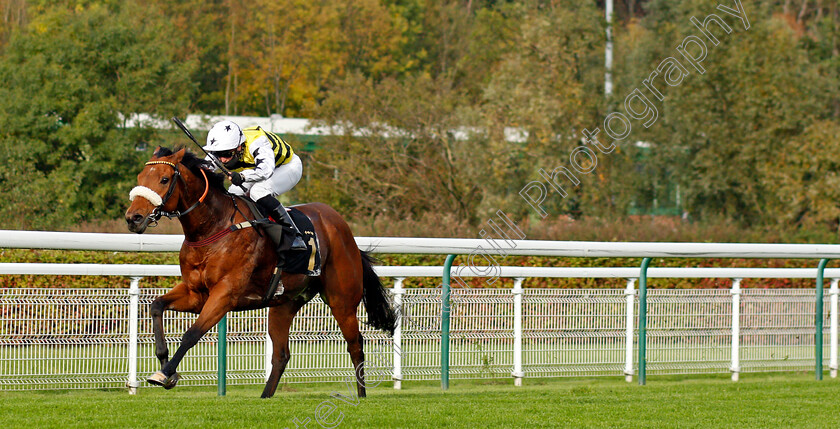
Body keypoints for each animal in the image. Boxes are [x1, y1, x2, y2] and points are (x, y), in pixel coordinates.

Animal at [124, 147, 398, 398]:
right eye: (139, 176)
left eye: (164, 179)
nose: (133, 218)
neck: (213, 227)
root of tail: (343, 229)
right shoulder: (196, 293)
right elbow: (157, 306)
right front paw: (166, 367)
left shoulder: (225, 294)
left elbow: (192, 334)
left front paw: (165, 373)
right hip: (283, 304)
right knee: (282, 354)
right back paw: (265, 396)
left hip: (342, 300)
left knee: (356, 344)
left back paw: (361, 395)